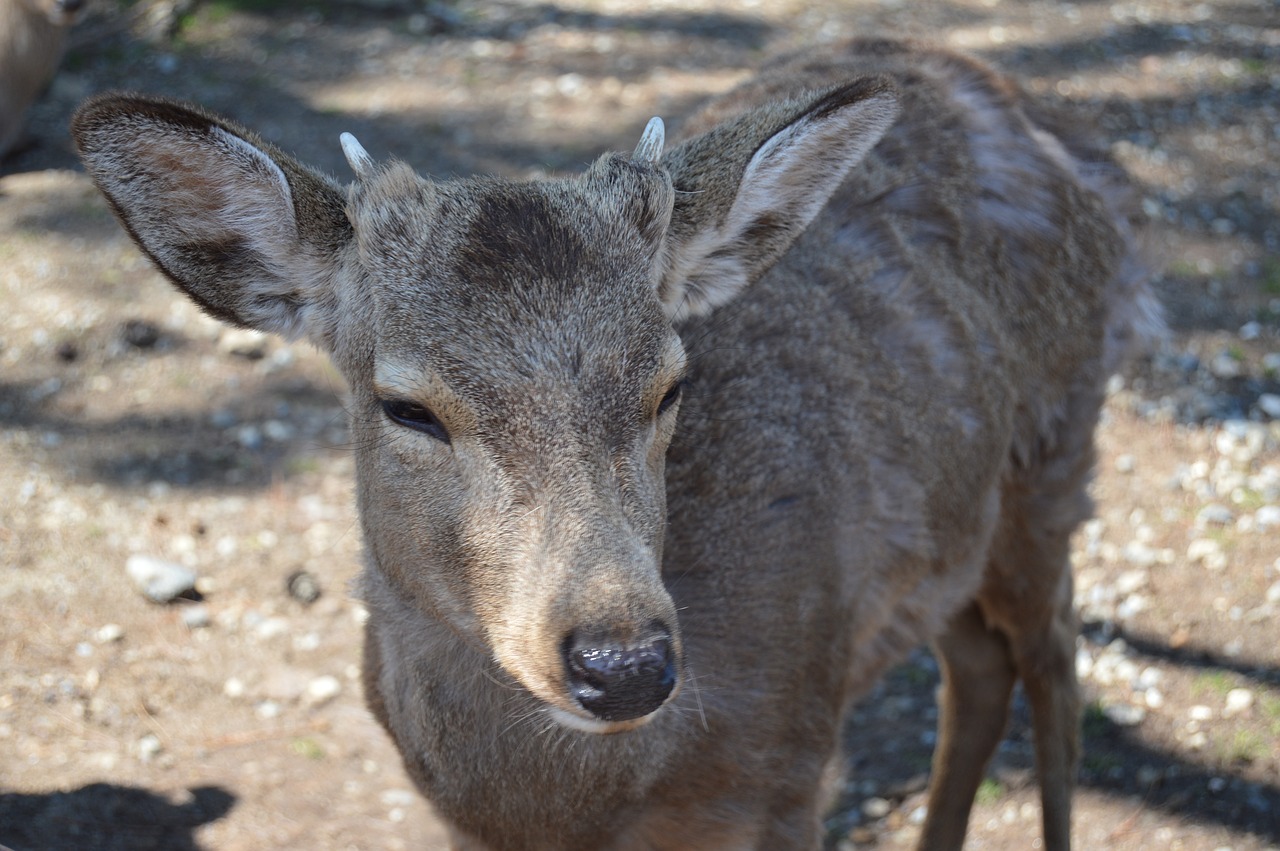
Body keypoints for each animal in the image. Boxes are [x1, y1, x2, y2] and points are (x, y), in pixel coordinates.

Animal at [72, 34, 1162, 849]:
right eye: (407, 407)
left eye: (670, 383)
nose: (622, 661)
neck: (576, 809)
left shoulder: (791, 770)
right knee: (978, 665)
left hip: (1057, 451)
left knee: (1054, 656)